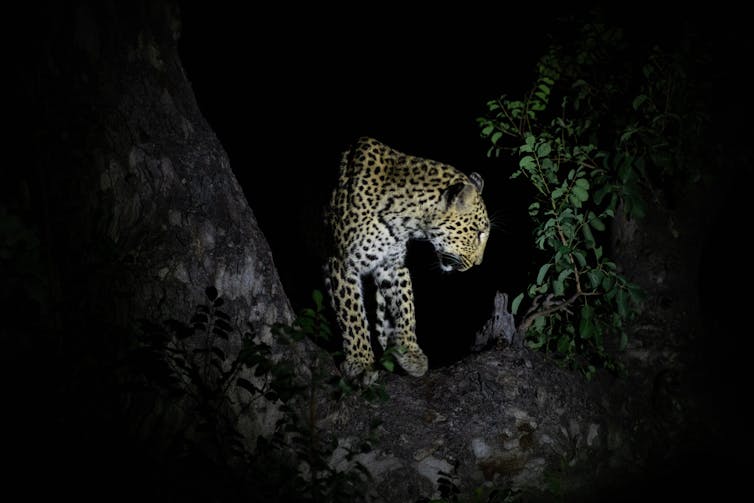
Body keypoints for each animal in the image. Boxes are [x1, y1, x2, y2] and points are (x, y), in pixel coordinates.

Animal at [324, 137, 490, 383]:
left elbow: (405, 305)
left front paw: (411, 354)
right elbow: (352, 315)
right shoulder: (343, 262)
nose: (478, 263)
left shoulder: (392, 264)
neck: (406, 220)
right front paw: (361, 363)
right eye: (478, 232)